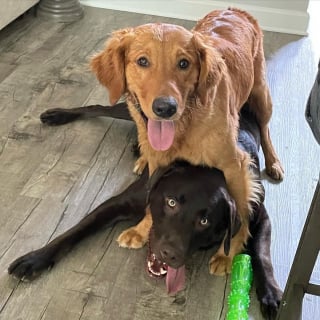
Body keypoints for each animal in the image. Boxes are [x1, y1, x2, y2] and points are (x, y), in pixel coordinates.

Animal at [8, 103, 282, 318]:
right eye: (171, 202)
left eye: (204, 221)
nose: (169, 254)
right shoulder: (118, 202)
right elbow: (74, 231)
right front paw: (34, 259)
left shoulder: (259, 215)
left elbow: (263, 254)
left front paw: (270, 292)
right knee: (99, 108)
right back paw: (57, 115)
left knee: (267, 131)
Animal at [90, 7, 282, 274]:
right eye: (142, 61)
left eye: (184, 64)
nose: (165, 108)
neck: (184, 127)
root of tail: (233, 9)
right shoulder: (159, 160)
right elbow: (153, 199)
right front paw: (142, 229)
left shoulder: (234, 165)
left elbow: (241, 212)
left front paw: (228, 254)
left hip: (261, 93)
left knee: (265, 130)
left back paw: (274, 163)